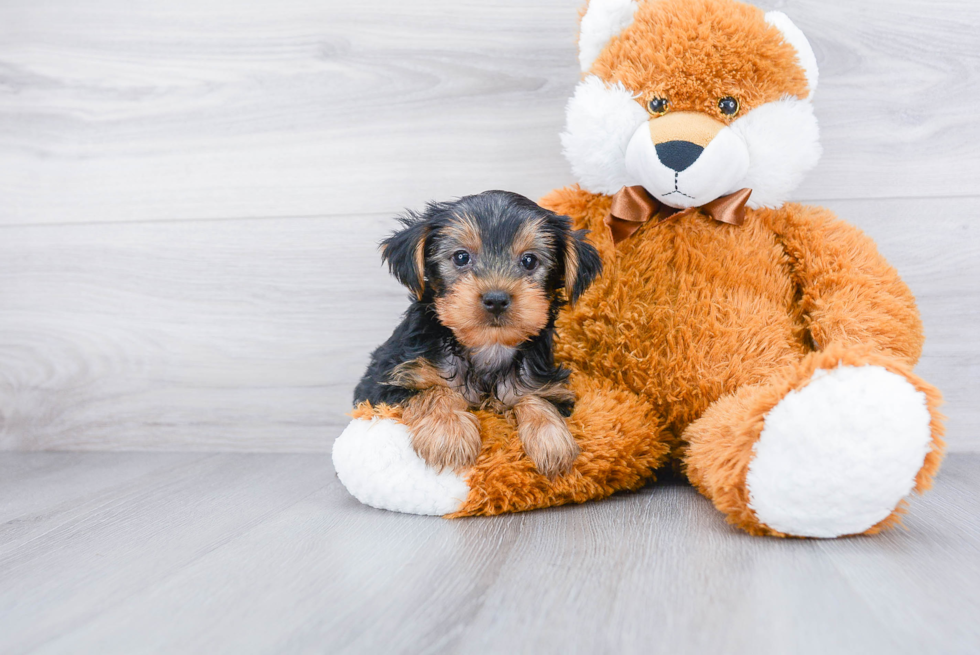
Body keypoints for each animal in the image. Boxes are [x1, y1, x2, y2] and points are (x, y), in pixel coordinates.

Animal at [356, 190, 600, 476]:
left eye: (530, 261)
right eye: (461, 257)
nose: (496, 299)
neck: (488, 346)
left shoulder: (547, 385)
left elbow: (535, 397)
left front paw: (551, 438)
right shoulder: (384, 388)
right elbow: (434, 391)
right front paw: (449, 433)